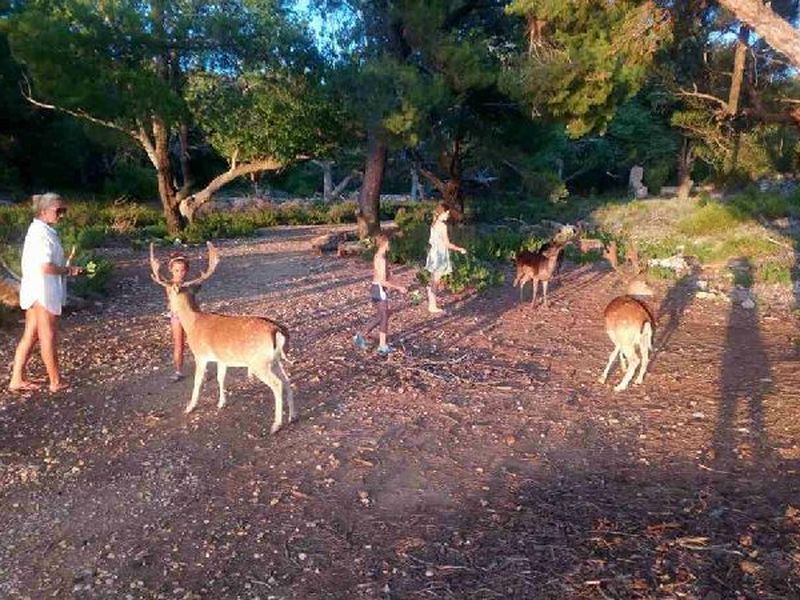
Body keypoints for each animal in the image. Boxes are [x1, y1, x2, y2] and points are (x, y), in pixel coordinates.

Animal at [148, 241, 296, 434]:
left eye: (167, 291)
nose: (167, 309)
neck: (193, 323)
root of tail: (277, 330)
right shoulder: (222, 358)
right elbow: (220, 378)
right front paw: (221, 403)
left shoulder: (200, 355)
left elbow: (198, 381)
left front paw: (190, 407)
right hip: (275, 360)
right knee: (287, 380)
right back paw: (293, 416)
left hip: (259, 362)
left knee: (277, 384)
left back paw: (276, 425)